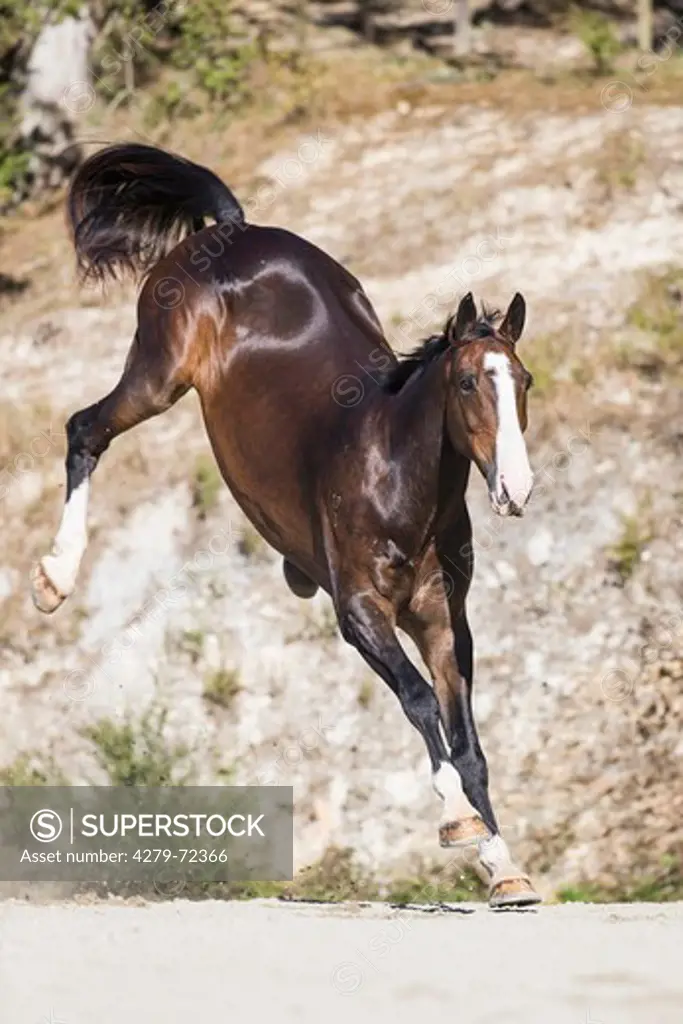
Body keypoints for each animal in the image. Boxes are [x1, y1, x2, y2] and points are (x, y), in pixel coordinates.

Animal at [31, 142, 540, 905]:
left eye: (525, 382)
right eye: (467, 383)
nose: (516, 487)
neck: (397, 481)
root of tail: (232, 229)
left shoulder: (444, 621)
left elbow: (467, 741)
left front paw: (503, 867)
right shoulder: (359, 612)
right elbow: (420, 702)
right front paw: (457, 822)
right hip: (157, 374)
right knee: (85, 430)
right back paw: (53, 579)